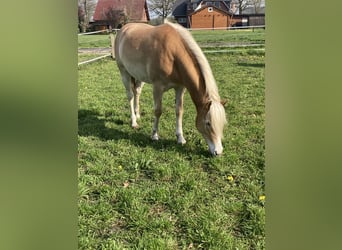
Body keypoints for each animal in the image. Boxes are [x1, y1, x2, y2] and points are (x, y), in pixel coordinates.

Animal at [115, 21, 227, 155]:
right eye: (208, 123)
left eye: (223, 123)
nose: (218, 152)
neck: (172, 53)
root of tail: (124, 29)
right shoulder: (157, 87)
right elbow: (158, 111)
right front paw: (154, 135)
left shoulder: (180, 88)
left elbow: (179, 111)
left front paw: (180, 138)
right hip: (124, 73)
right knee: (130, 96)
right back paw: (133, 121)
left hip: (138, 76)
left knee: (137, 92)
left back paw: (137, 115)